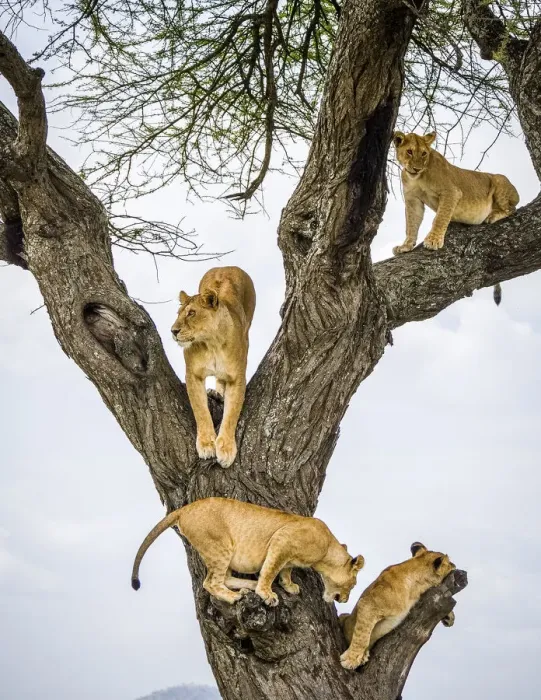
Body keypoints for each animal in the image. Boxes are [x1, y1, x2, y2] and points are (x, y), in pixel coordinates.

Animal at [131, 497, 365, 606]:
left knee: (224, 578)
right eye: (352, 585)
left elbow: (285, 571)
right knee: (210, 582)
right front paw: (267, 593)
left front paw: (289, 586)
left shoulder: (286, 552)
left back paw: (247, 588)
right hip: (219, 546)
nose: (345, 600)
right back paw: (235, 596)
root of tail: (185, 508)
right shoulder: (281, 540)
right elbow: (271, 570)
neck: (327, 550)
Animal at [171, 266, 256, 467]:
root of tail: (227, 266)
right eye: (178, 313)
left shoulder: (236, 377)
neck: (212, 343)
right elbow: (200, 410)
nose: (173, 331)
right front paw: (206, 444)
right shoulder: (193, 375)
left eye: (191, 313)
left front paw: (226, 449)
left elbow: (231, 414)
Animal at [339, 542, 456, 670]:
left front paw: (450, 617)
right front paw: (351, 659)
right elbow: (362, 635)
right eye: (450, 563)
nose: (455, 565)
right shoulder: (368, 604)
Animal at [392, 131, 519, 304]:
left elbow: (440, 217)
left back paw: (492, 215)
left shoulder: (451, 192)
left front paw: (433, 240)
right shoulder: (413, 200)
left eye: (424, 153)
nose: (417, 168)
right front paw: (406, 246)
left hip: (499, 180)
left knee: (512, 208)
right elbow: (411, 224)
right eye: (409, 151)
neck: (417, 178)